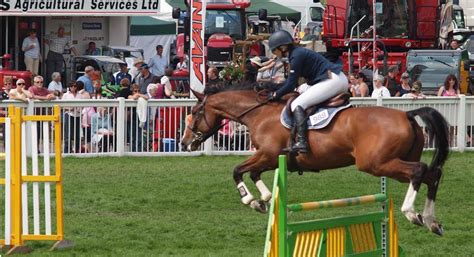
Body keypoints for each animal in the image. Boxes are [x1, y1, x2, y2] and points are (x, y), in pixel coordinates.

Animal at [181, 83, 448, 235]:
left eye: (194, 112)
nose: (184, 143)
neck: (259, 113)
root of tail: (407, 115)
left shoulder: (267, 154)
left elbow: (237, 170)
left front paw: (250, 200)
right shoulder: (270, 159)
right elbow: (253, 173)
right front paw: (264, 200)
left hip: (376, 164)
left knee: (419, 171)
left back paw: (411, 213)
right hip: (392, 162)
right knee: (432, 175)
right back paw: (432, 221)